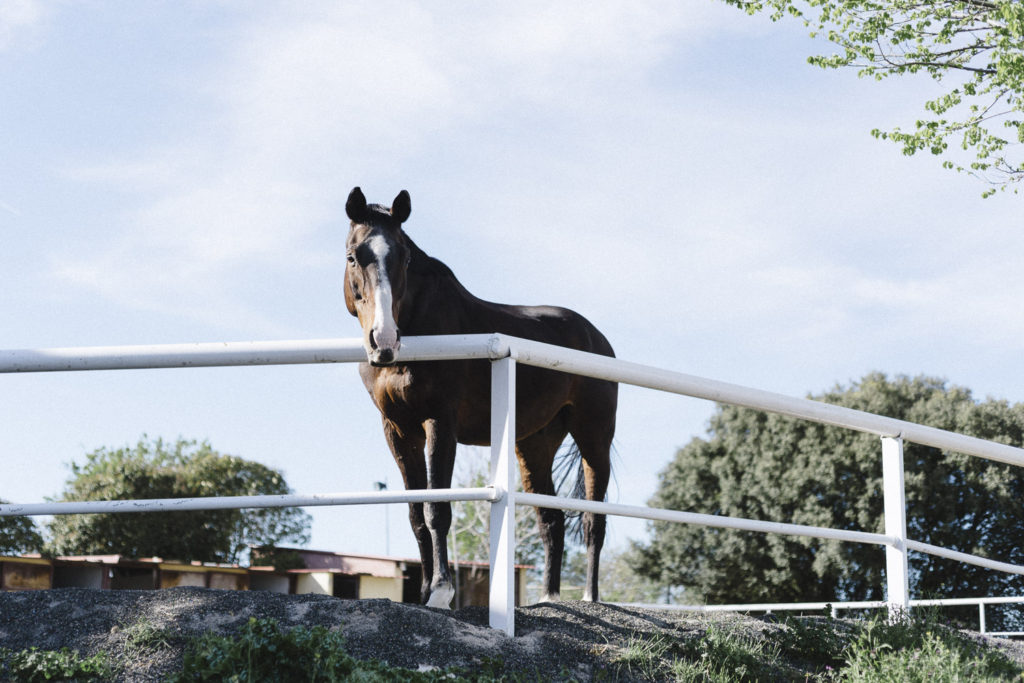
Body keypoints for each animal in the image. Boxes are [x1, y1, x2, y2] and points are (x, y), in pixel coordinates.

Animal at [344, 187, 614, 610]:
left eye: (403, 257)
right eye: (354, 256)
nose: (384, 340)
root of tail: (598, 339)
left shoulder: (440, 421)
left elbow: (437, 508)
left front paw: (440, 592)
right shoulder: (398, 430)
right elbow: (416, 515)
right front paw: (423, 591)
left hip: (594, 437)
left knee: (592, 519)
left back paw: (589, 597)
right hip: (534, 445)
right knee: (551, 521)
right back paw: (549, 598)